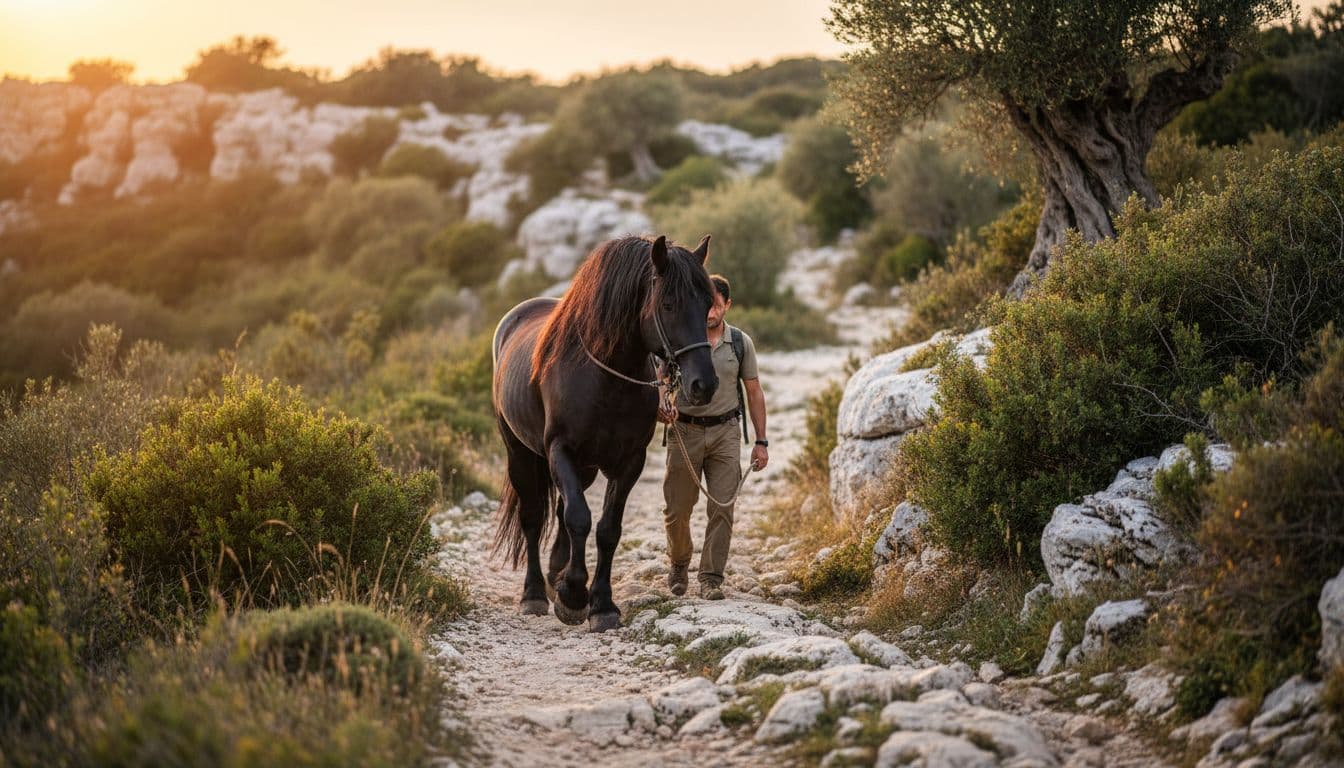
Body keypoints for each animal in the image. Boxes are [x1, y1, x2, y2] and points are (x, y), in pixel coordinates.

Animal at [490, 234, 718, 632]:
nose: (703, 384)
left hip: (584, 468)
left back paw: (556, 572)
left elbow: (608, 529)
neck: (604, 378)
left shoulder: (629, 462)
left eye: (707, 303)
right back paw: (534, 593)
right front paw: (573, 596)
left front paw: (601, 604)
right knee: (533, 517)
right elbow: (579, 518)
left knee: (562, 507)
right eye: (669, 304)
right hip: (521, 453)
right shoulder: (560, 451)